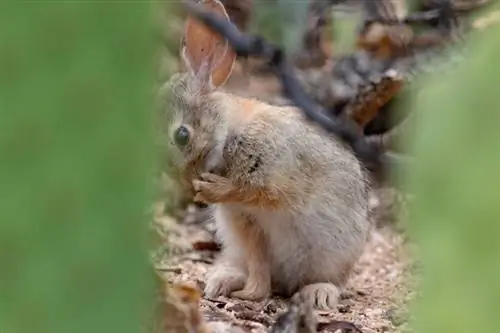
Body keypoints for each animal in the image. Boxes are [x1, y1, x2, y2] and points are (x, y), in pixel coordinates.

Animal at [166, 0, 374, 312]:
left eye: (182, 135)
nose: (181, 181)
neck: (228, 132)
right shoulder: (245, 222)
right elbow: (258, 260)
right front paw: (252, 293)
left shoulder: (274, 176)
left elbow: (257, 192)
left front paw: (212, 188)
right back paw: (221, 281)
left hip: (333, 252)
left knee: (332, 280)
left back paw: (318, 293)